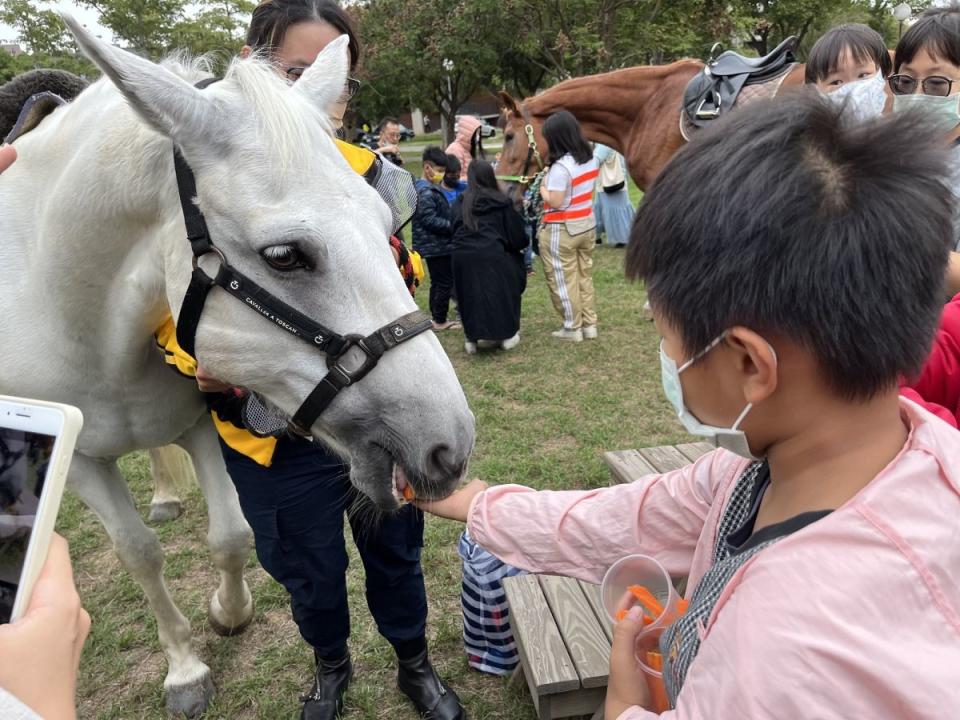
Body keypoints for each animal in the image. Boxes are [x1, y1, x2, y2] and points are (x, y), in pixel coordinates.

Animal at [0, 19, 474, 716]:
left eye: (387, 226)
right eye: (284, 255)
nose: (449, 447)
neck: (73, 312)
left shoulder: (201, 421)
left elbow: (230, 534)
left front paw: (228, 613)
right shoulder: (75, 457)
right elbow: (138, 553)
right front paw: (184, 668)